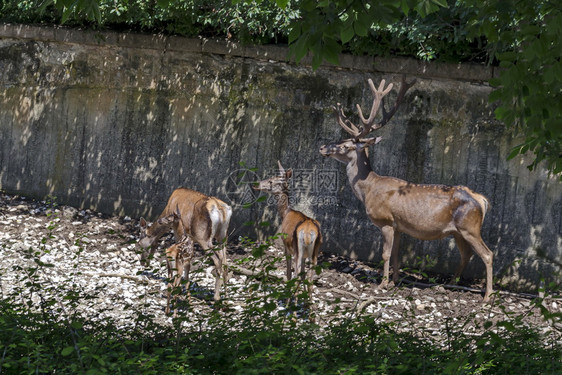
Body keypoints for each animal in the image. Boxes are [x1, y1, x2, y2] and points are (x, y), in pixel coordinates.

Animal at [253, 162, 322, 296]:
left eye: (271, 181)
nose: (256, 184)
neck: (285, 213)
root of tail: (308, 233)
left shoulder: (285, 245)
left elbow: (289, 273)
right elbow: (303, 276)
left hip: (297, 249)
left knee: (296, 275)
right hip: (315, 251)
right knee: (310, 280)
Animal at [320, 76, 490, 302]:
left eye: (346, 145)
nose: (322, 147)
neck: (368, 189)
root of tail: (481, 199)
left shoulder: (385, 220)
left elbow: (385, 253)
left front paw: (382, 284)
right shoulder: (399, 225)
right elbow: (396, 255)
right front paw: (394, 280)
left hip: (470, 226)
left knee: (487, 254)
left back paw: (487, 296)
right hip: (458, 231)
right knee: (466, 254)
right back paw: (448, 285)